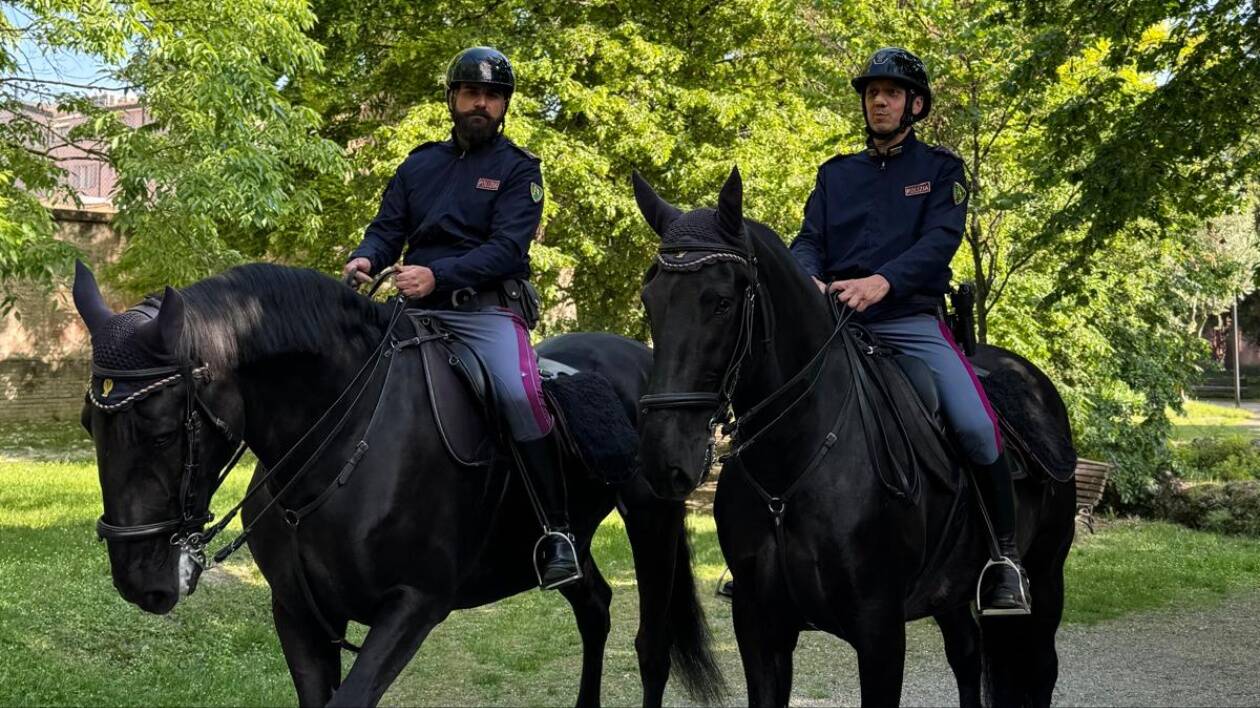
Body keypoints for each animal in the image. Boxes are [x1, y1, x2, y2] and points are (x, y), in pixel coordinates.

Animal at [72, 261, 724, 707]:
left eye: (161, 431)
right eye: (88, 425)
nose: (139, 581)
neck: (342, 440)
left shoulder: (413, 606)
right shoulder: (300, 616)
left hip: (653, 522)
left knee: (652, 647)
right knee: (594, 608)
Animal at [633, 167, 1076, 707]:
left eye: (720, 302)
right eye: (650, 301)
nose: (663, 457)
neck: (792, 467)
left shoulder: (879, 632)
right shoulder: (760, 629)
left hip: (1047, 576)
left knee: (1042, 668)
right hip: (952, 596)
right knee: (968, 657)